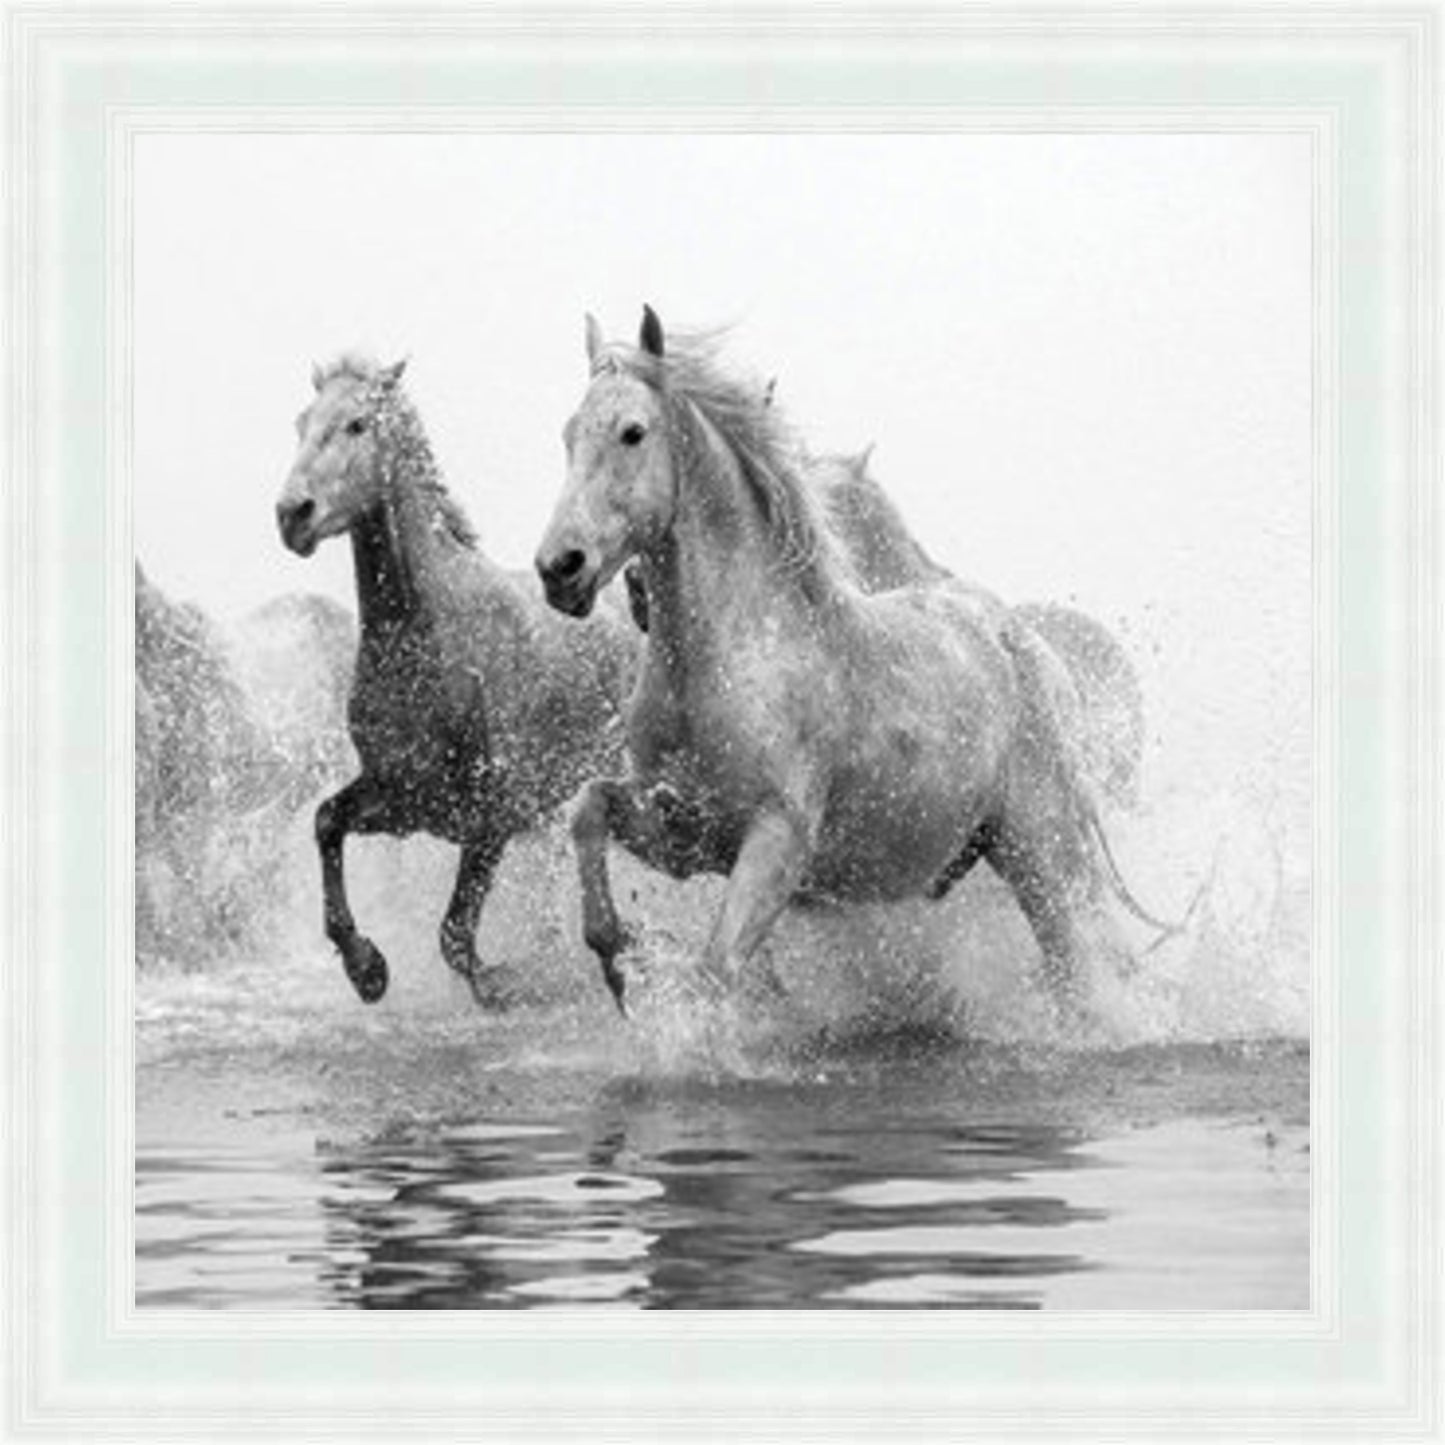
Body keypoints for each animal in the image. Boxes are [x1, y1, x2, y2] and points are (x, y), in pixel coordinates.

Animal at [276, 354, 636, 1006]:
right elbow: (326, 822)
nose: (292, 515)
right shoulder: (402, 798)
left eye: (357, 424)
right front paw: (367, 968)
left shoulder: (491, 818)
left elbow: (455, 936)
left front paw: (511, 986)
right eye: (301, 423)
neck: (428, 642)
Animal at [535, 308, 1167, 1014]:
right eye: (568, 434)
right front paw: (619, 960)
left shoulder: (776, 842)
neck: (722, 665)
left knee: (1076, 973)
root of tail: (1027, 647)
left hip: (1042, 858)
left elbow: (717, 969)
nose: (560, 568)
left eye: (632, 433)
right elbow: (588, 810)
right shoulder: (683, 830)